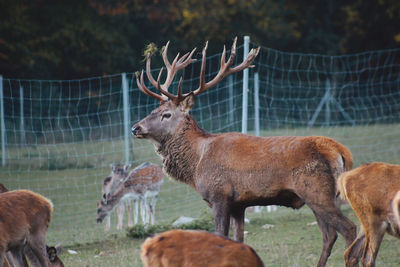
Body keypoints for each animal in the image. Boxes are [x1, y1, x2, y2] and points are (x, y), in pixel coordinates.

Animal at [131, 37, 356, 267]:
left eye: (166, 114)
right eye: (153, 110)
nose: (135, 128)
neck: (196, 163)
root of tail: (340, 151)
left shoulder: (219, 196)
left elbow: (221, 237)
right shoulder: (239, 204)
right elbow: (238, 240)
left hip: (317, 191)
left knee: (349, 229)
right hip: (322, 196)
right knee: (329, 235)